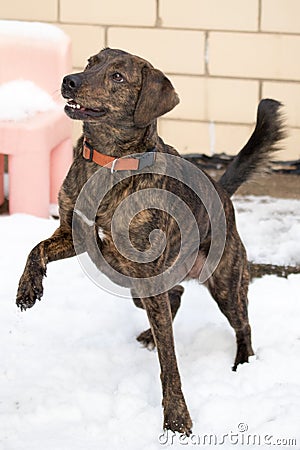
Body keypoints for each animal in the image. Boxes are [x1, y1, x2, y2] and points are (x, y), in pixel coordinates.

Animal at [15, 47, 284, 434]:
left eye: (117, 76)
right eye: (91, 62)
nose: (69, 81)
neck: (108, 160)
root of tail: (221, 191)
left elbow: (169, 361)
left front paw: (176, 416)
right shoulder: (72, 234)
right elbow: (36, 248)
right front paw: (28, 287)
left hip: (225, 283)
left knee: (241, 323)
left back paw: (243, 363)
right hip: (134, 282)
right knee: (176, 294)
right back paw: (151, 333)